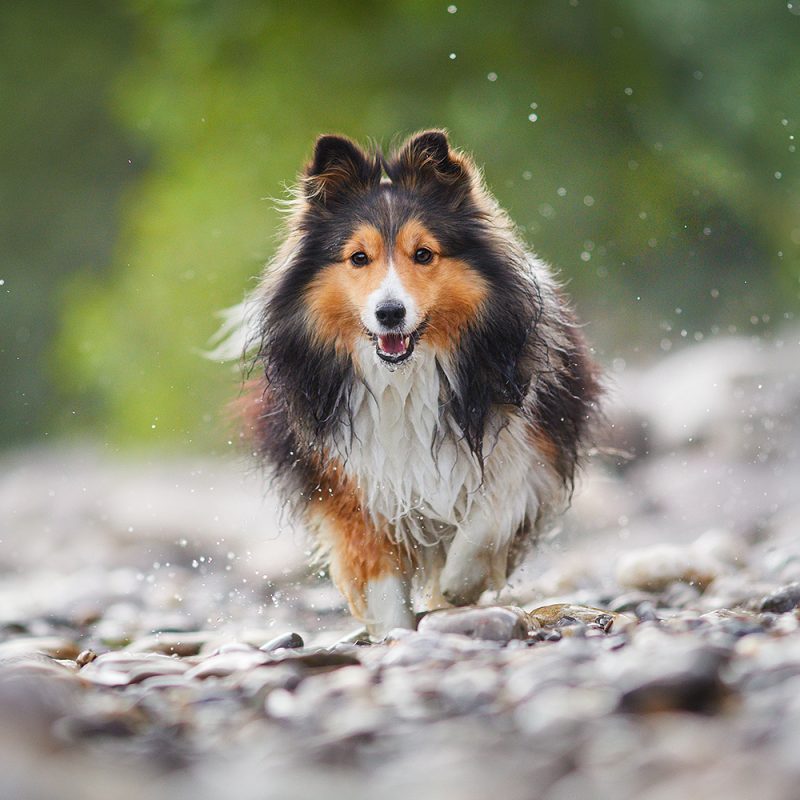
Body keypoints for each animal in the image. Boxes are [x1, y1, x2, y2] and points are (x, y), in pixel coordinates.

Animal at [238, 131, 600, 636]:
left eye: (423, 254)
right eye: (359, 258)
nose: (390, 313)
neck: (404, 379)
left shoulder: (525, 447)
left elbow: (490, 514)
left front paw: (459, 583)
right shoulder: (351, 479)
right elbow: (380, 577)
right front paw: (395, 635)